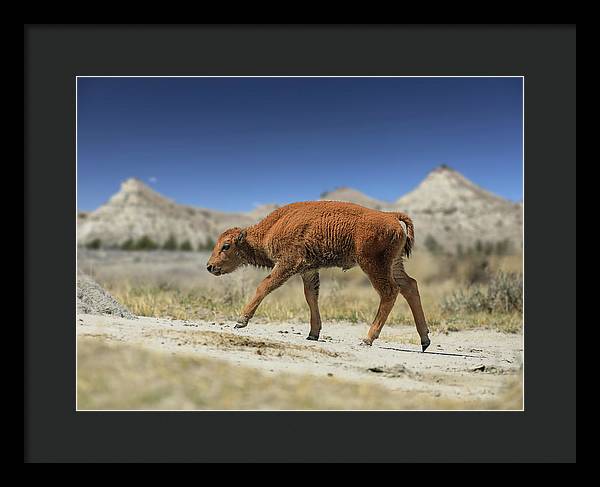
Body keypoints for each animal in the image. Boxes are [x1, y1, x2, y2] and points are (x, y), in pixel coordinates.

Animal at [206, 201, 432, 350]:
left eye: (226, 246)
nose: (209, 266)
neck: (270, 229)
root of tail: (390, 216)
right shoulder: (308, 270)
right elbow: (311, 297)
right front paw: (313, 334)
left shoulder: (288, 264)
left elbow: (265, 285)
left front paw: (241, 321)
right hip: (394, 264)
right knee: (410, 286)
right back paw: (424, 340)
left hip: (373, 265)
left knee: (389, 291)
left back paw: (368, 338)